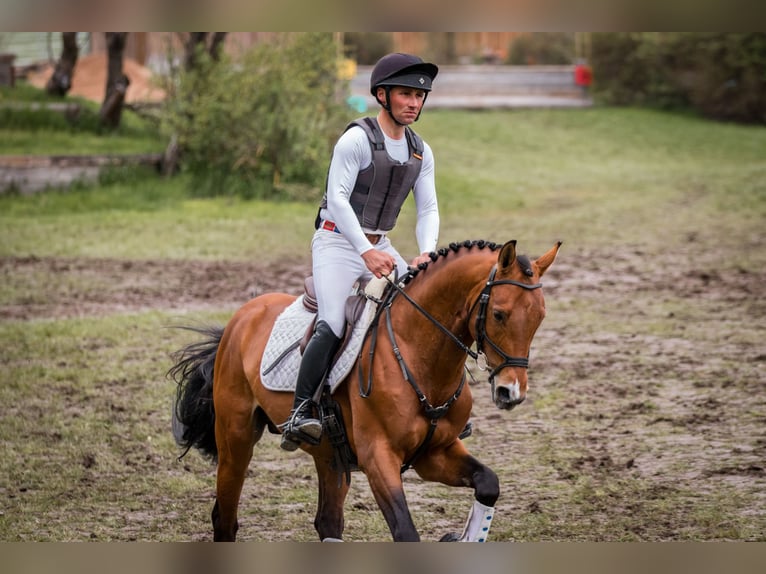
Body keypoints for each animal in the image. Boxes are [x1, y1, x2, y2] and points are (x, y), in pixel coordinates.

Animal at [171, 240, 560, 544]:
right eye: (499, 314)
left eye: (541, 316)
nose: (511, 392)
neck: (416, 354)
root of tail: (242, 316)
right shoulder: (378, 457)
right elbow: (405, 532)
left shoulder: (434, 454)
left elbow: (488, 484)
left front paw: (458, 536)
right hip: (236, 438)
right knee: (225, 518)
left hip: (329, 453)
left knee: (328, 522)